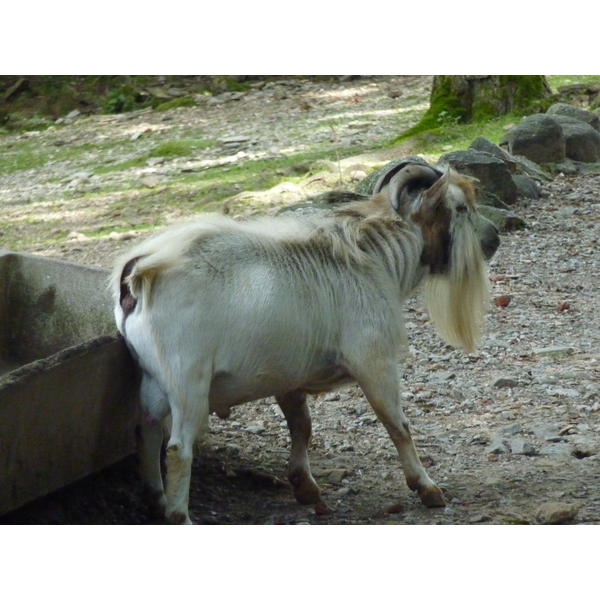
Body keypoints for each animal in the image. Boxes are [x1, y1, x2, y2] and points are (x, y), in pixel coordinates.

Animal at [110, 162, 500, 524]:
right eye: (460, 207)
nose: (494, 237)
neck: (373, 256)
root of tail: (137, 276)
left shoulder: (287, 375)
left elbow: (302, 425)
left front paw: (305, 486)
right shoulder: (372, 359)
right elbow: (397, 424)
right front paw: (427, 488)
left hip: (153, 381)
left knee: (147, 433)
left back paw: (156, 500)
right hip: (187, 382)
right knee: (177, 448)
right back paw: (180, 514)